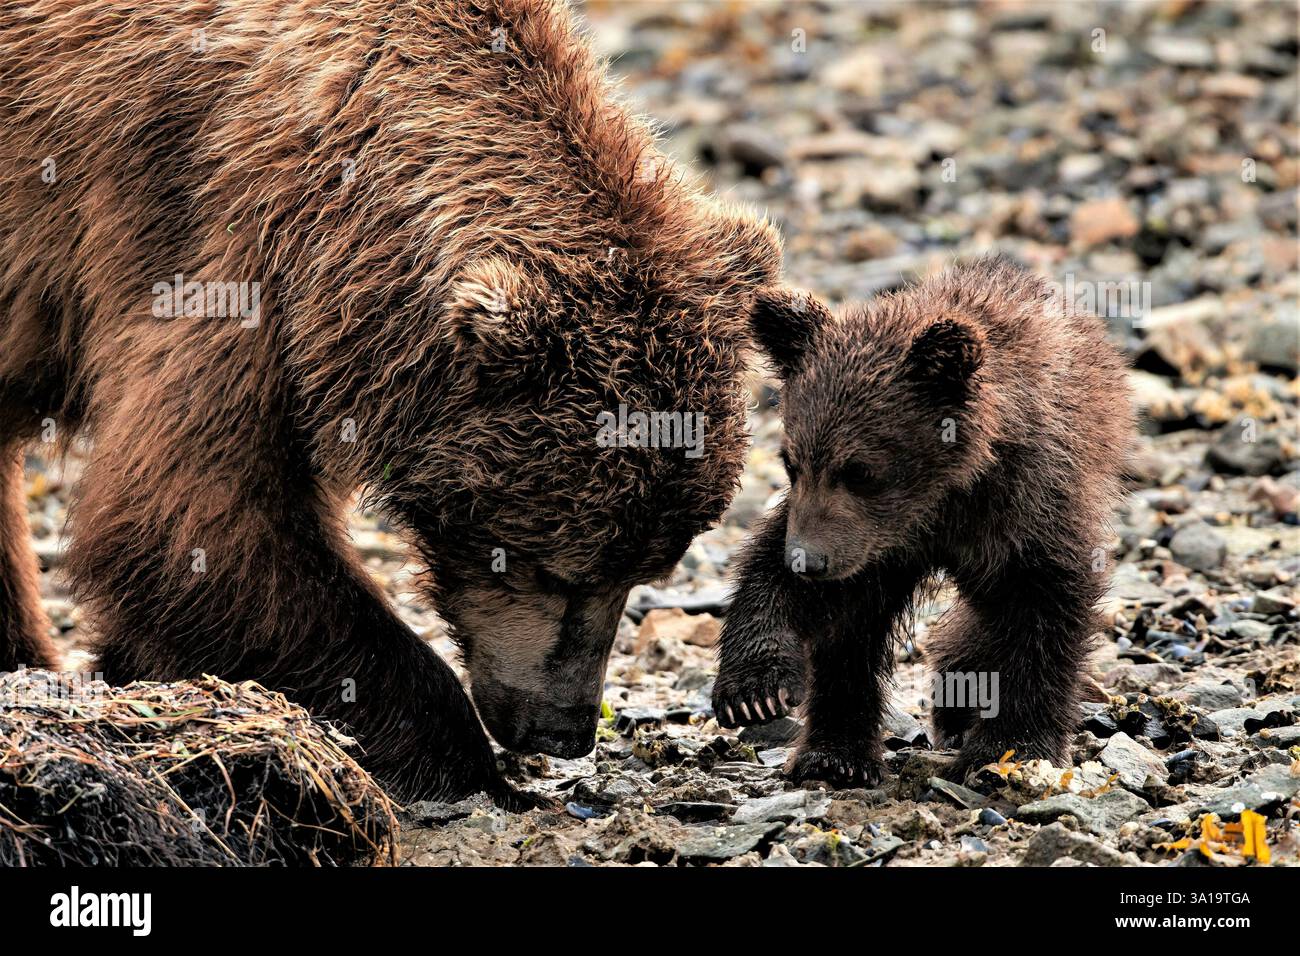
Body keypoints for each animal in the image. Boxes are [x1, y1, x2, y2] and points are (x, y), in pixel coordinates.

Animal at [0, 0, 781, 805]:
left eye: (645, 571)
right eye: (558, 570)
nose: (562, 730)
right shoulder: (217, 247)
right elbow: (187, 516)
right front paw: (457, 755)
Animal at [712, 257, 1133, 787]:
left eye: (861, 470)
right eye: (791, 461)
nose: (807, 562)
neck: (941, 496)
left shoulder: (1031, 504)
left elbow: (1043, 607)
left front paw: (1012, 747)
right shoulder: (866, 538)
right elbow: (780, 580)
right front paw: (754, 693)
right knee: (854, 637)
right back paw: (837, 756)